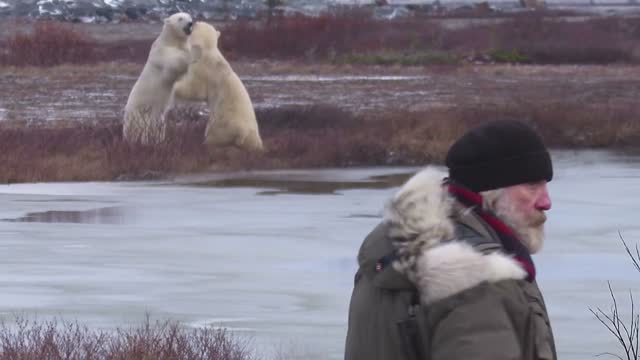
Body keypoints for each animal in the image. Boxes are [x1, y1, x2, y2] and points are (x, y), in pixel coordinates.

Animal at [123, 12, 198, 145]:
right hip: (140, 113)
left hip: (159, 118)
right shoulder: (162, 53)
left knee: (159, 127)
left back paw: (159, 140)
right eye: (180, 18)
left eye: (189, 16)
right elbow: (173, 64)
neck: (171, 40)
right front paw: (190, 55)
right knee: (143, 128)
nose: (190, 23)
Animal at [172, 22, 262, 152]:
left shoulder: (202, 70)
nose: (193, 22)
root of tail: (242, 132)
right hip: (252, 135)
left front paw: (175, 86)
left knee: (213, 138)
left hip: (222, 125)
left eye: (197, 23)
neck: (208, 51)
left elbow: (194, 89)